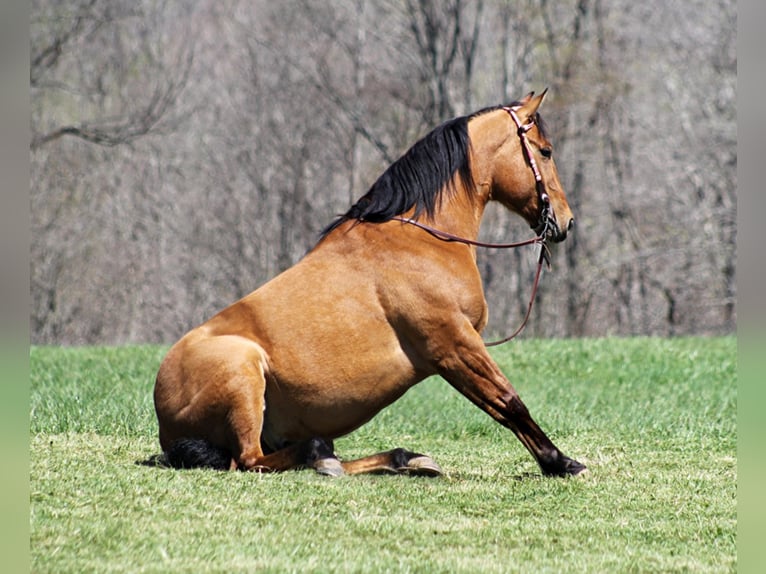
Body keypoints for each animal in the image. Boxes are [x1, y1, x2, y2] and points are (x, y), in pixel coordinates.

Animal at [154, 89, 588, 476]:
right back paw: (326, 457)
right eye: (546, 152)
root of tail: (164, 422)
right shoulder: (454, 345)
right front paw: (561, 463)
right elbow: (509, 402)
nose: (565, 221)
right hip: (243, 375)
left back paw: (401, 460)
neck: (418, 237)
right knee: (251, 460)